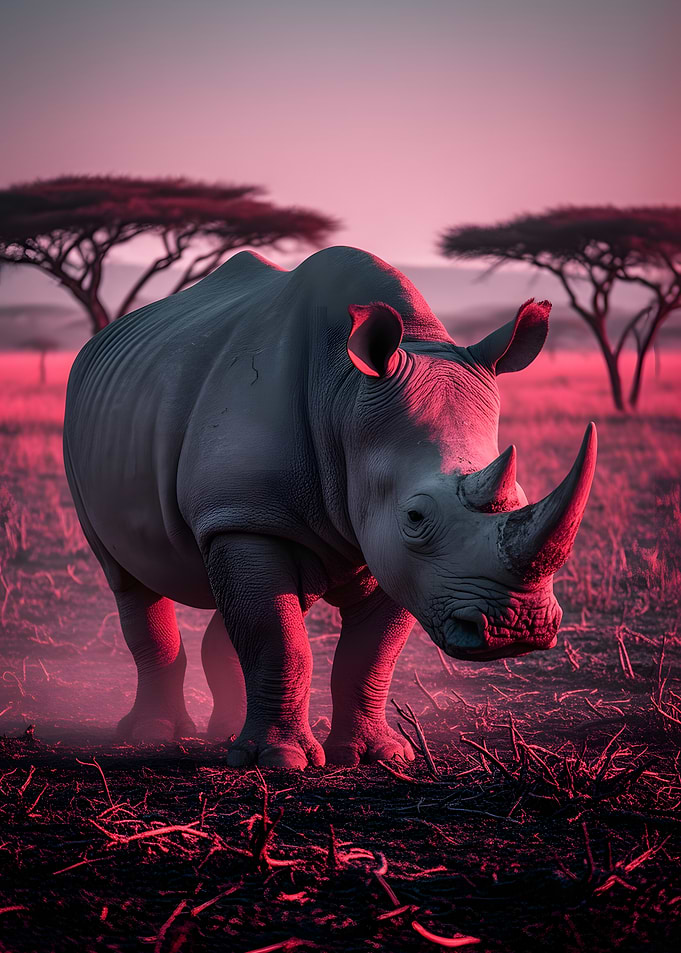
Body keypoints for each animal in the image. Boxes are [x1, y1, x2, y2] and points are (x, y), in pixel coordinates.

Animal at [63, 245, 596, 768]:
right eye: (416, 517)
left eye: (521, 498)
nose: (519, 627)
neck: (344, 398)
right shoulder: (249, 516)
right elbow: (279, 640)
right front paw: (279, 760)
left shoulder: (395, 552)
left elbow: (370, 653)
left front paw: (378, 755)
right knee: (127, 577)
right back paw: (153, 735)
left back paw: (226, 735)